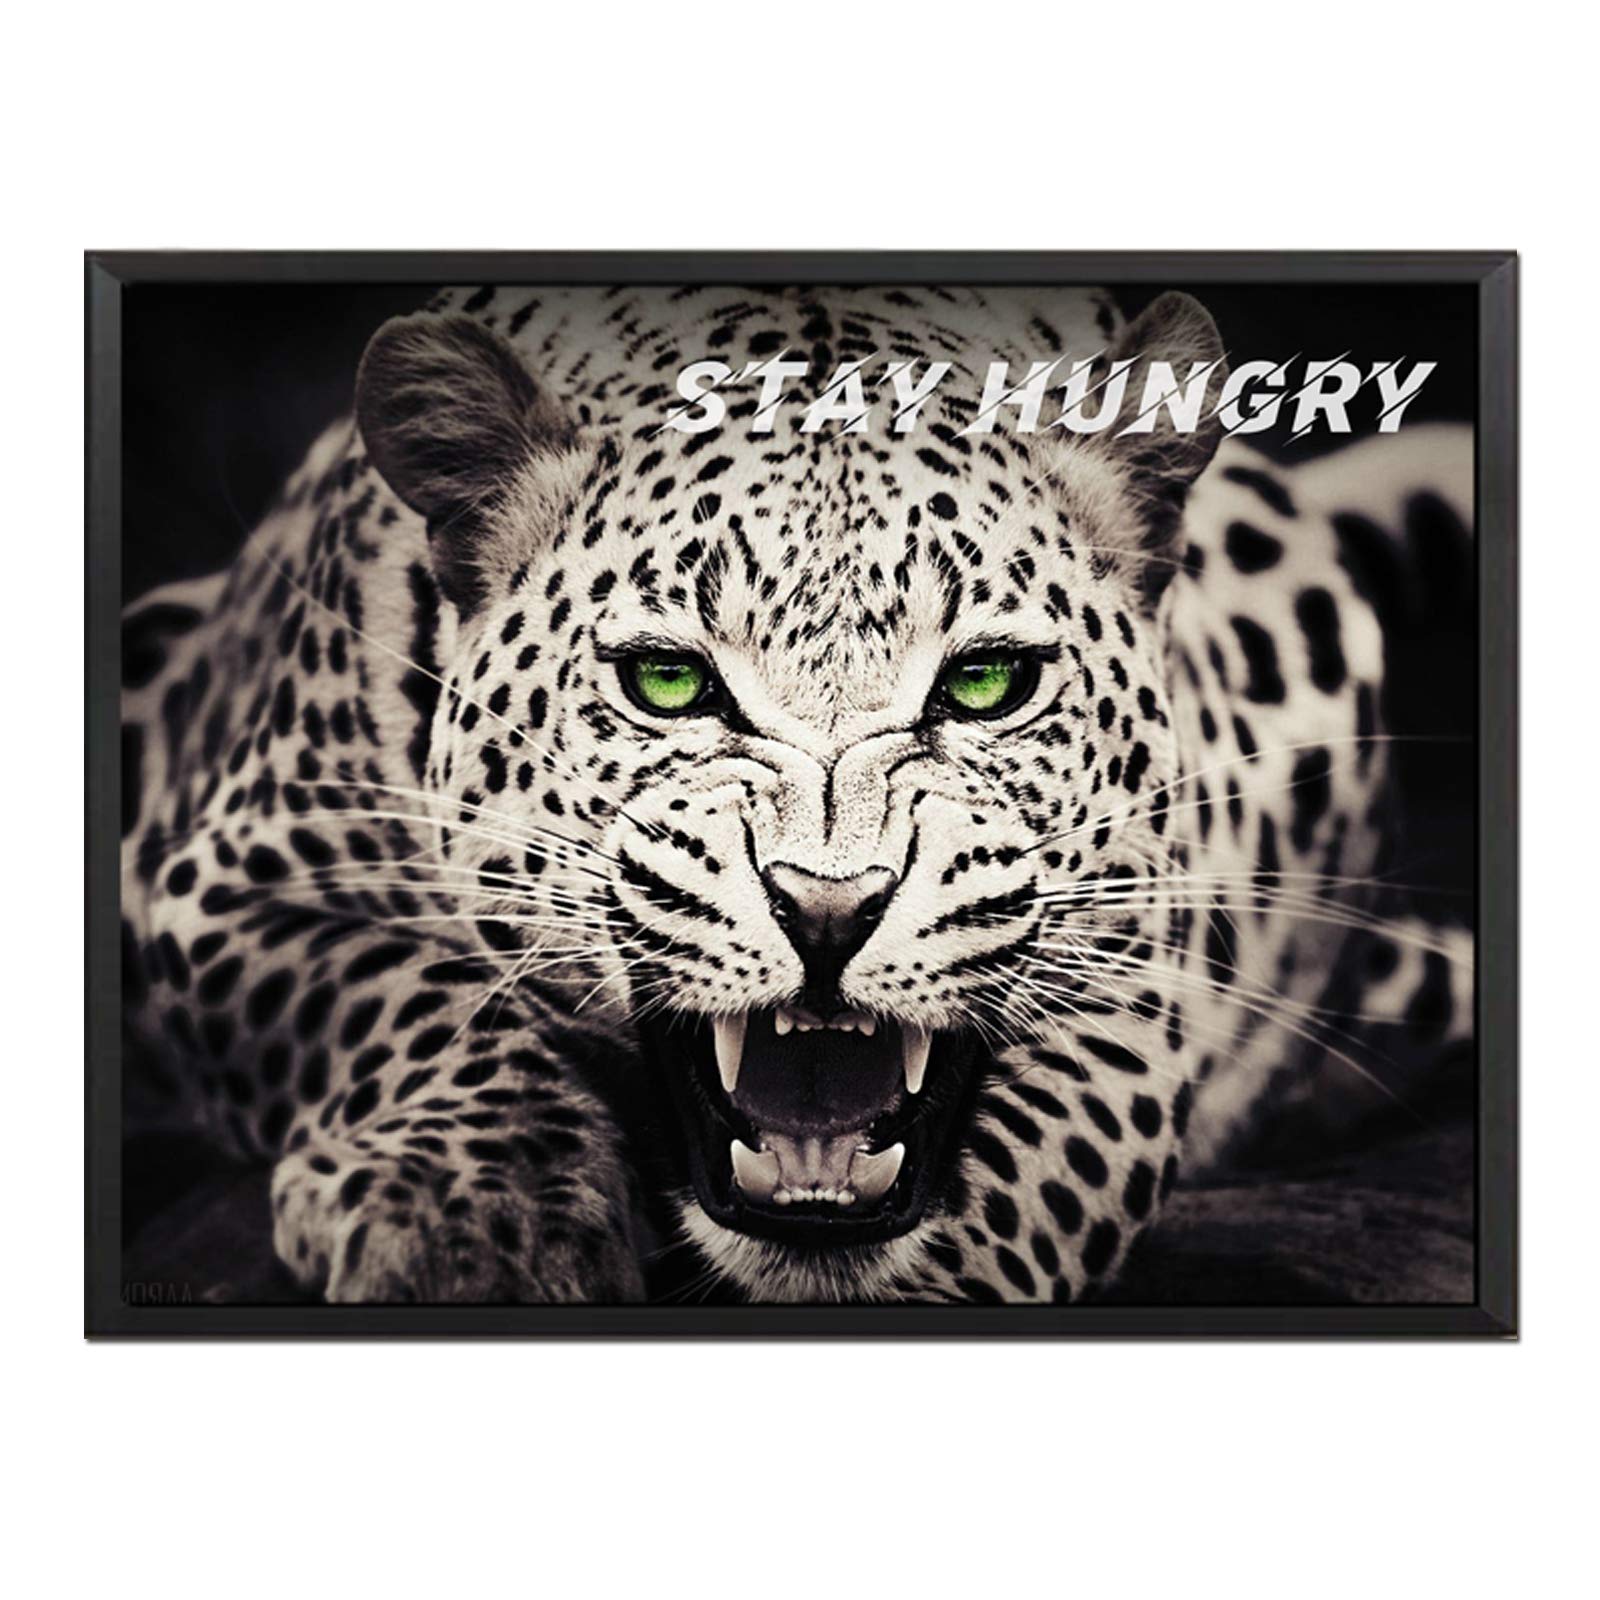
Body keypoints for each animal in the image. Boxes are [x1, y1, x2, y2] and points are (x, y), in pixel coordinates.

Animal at [119, 282, 1475, 1304]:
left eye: (985, 682)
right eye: (668, 680)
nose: (828, 911)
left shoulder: (1135, 982)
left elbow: (1036, 1166)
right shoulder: (215, 887)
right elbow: (412, 996)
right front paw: (474, 1220)